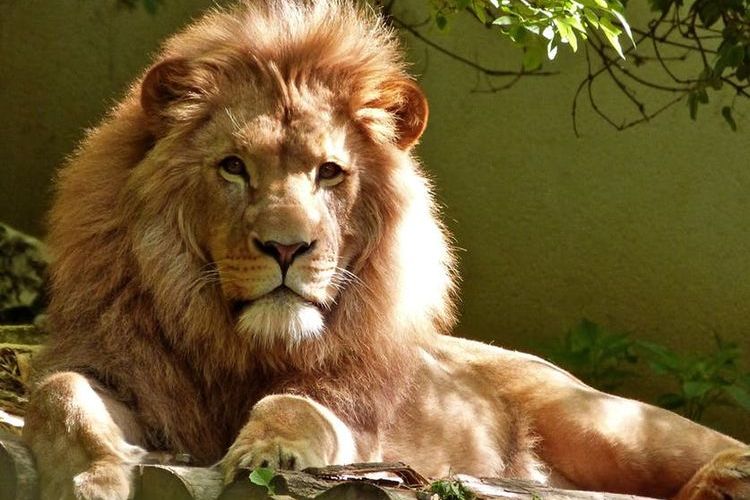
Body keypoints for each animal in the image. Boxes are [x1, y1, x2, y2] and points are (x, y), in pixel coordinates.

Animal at [23, 1, 748, 499]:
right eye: (233, 167)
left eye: (329, 172)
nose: (287, 248)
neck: (238, 346)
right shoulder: (122, 372)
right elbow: (60, 396)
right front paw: (92, 480)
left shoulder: (355, 420)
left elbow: (293, 407)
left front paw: (267, 455)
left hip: (606, 422)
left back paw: (726, 476)